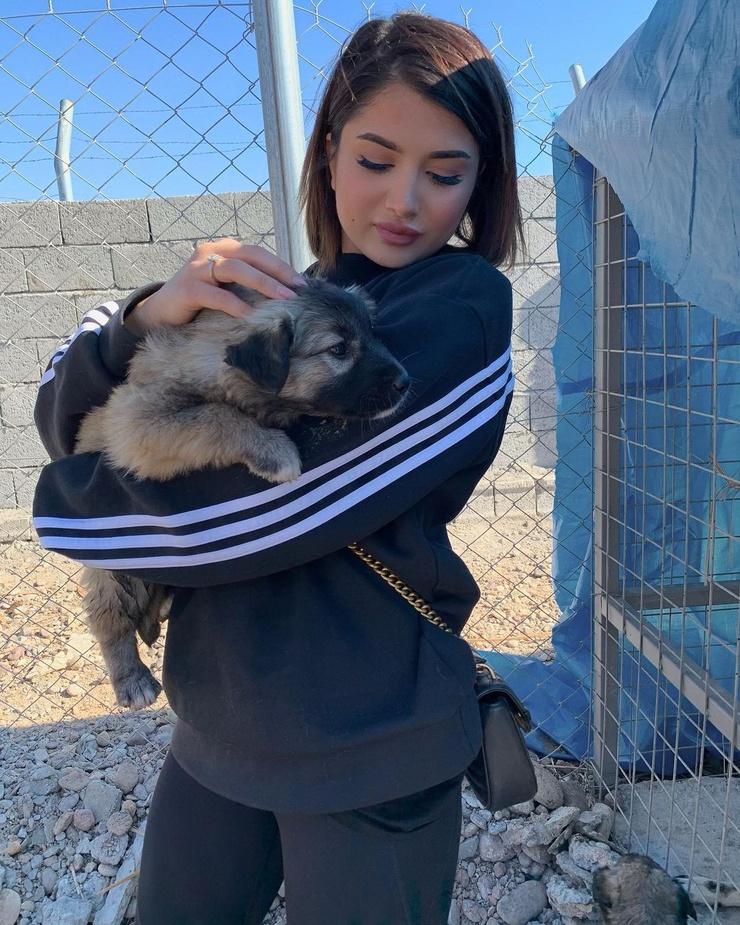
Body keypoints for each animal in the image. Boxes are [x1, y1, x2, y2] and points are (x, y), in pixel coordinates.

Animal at [74, 278, 410, 709]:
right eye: (338, 349)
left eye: (372, 333)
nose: (405, 382)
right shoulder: (136, 422)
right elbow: (214, 415)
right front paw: (273, 451)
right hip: (114, 575)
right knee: (111, 622)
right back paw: (131, 679)